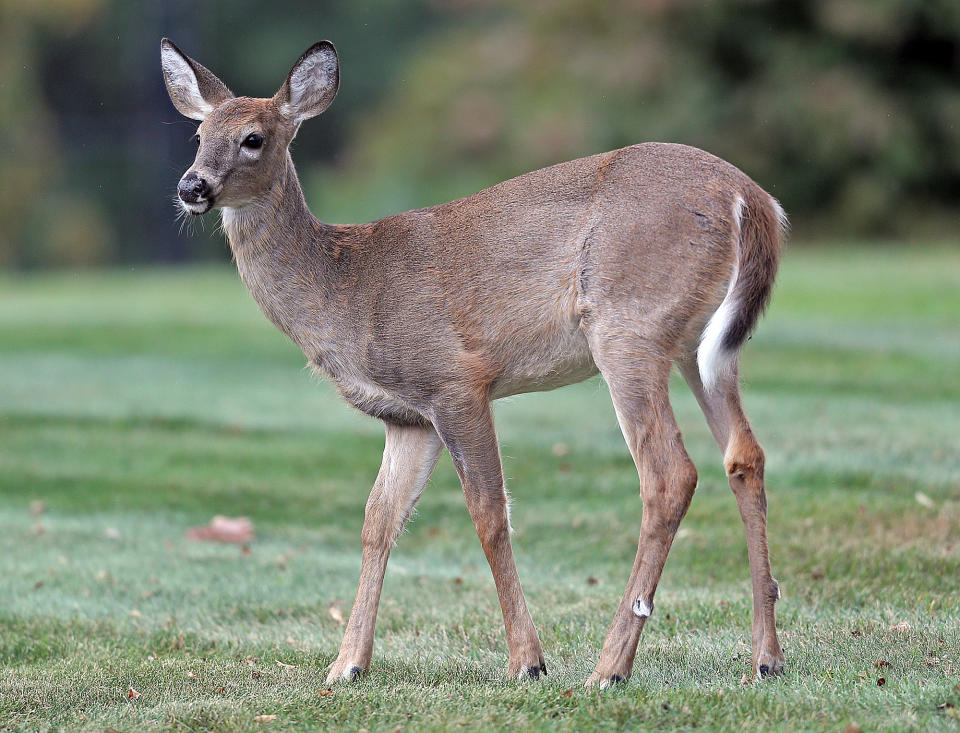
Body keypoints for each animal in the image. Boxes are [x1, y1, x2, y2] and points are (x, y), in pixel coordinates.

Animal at [159, 35, 788, 688]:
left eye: (254, 137)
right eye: (198, 134)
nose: (191, 187)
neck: (345, 288)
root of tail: (750, 199)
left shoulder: (455, 381)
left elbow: (488, 515)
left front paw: (527, 661)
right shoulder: (407, 416)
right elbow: (378, 521)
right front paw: (346, 665)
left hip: (627, 323)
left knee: (669, 474)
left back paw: (609, 667)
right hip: (699, 346)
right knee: (744, 455)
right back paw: (766, 657)